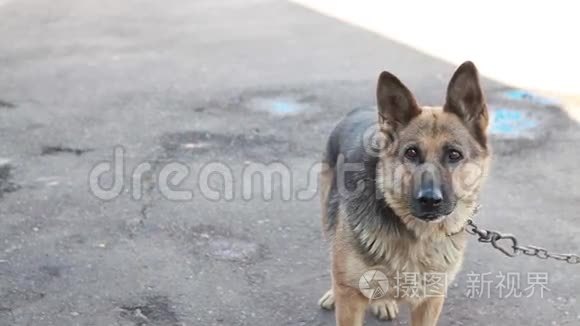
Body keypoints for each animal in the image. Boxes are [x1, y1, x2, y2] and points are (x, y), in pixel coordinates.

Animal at [318, 61, 490, 326]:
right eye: (411, 153)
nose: (429, 201)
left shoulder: (431, 300)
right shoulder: (351, 299)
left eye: (454, 155)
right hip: (329, 215)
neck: (418, 236)